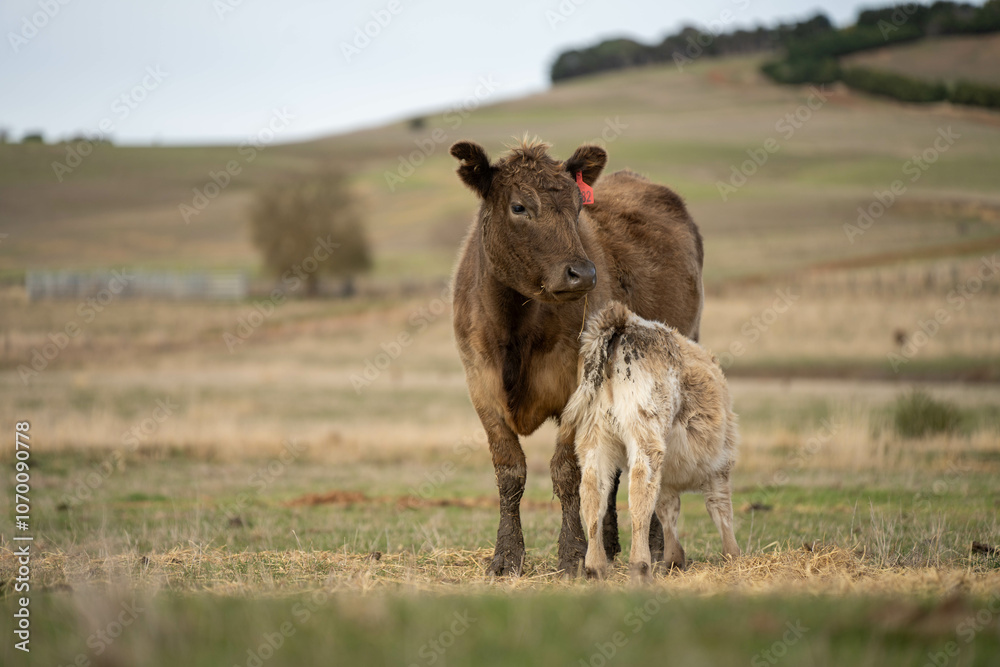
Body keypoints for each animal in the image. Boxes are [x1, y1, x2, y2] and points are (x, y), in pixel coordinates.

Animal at [449, 138, 704, 575]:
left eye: (577, 207)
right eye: (519, 206)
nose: (582, 273)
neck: (514, 326)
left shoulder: (576, 387)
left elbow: (568, 470)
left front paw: (572, 554)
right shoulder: (481, 385)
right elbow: (509, 470)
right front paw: (506, 556)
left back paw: (654, 548)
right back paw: (613, 544)